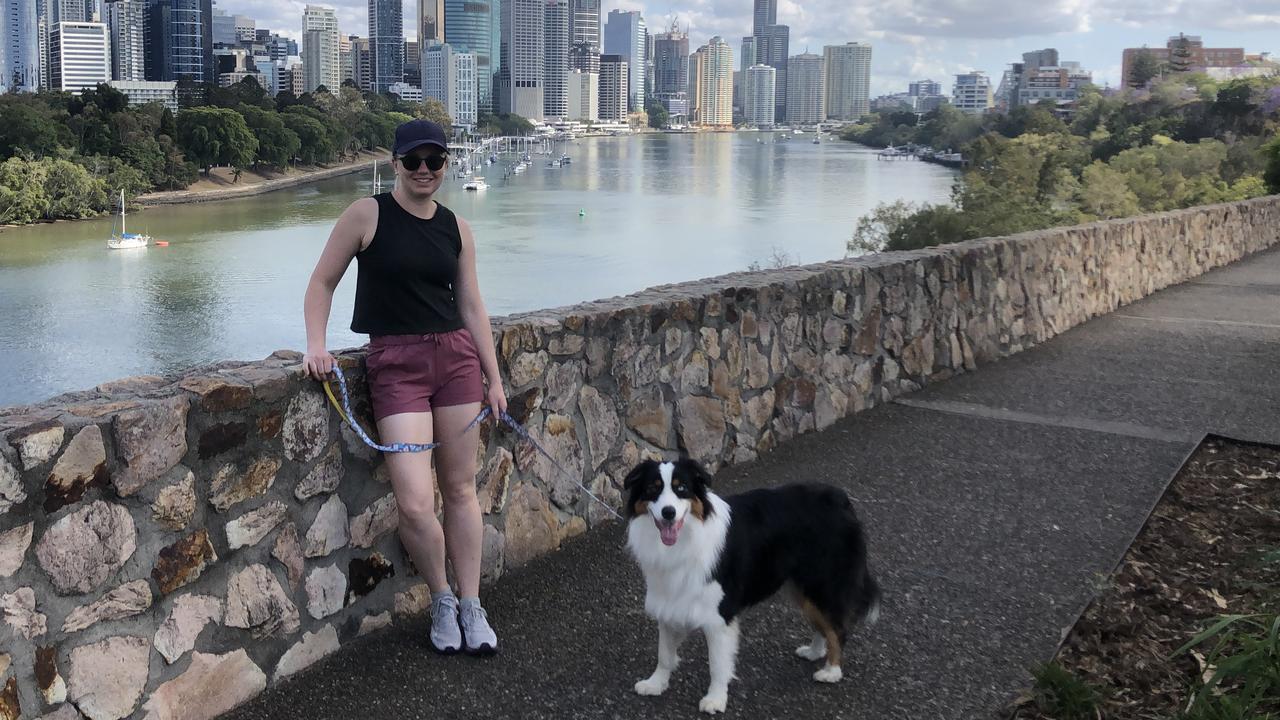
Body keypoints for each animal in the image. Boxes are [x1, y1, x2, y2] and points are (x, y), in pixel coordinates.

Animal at [622, 458, 880, 712]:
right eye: (652, 489)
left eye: (682, 488)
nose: (668, 513)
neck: (687, 537)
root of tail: (841, 498)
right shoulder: (670, 600)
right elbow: (664, 654)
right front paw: (655, 684)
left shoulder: (719, 615)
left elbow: (717, 664)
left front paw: (716, 699)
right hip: (800, 586)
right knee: (821, 623)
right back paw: (814, 652)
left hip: (822, 582)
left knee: (837, 628)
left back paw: (831, 671)